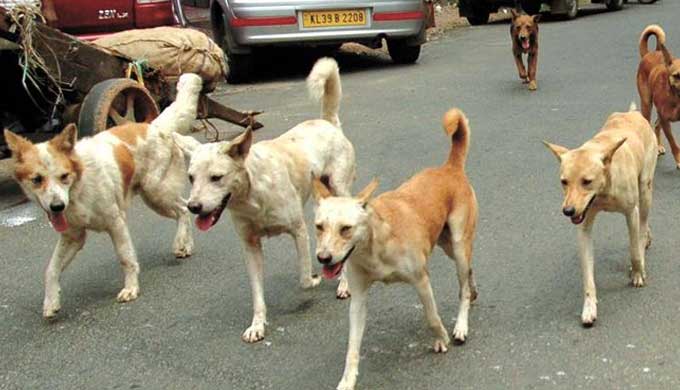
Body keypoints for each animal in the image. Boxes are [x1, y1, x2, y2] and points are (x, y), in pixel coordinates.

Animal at [4, 74, 202, 320]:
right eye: (37, 179)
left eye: (64, 176)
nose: (57, 207)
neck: (78, 187)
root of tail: (153, 126)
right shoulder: (73, 236)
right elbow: (51, 270)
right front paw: (51, 302)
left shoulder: (116, 223)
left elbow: (126, 257)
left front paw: (131, 288)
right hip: (156, 195)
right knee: (184, 208)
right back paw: (186, 245)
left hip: (155, 192)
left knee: (183, 210)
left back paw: (179, 243)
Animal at [171, 57, 356, 342]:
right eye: (191, 178)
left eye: (216, 177)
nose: (193, 207)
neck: (252, 196)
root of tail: (327, 123)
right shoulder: (250, 246)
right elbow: (257, 294)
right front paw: (257, 325)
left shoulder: (298, 231)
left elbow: (304, 278)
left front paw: (315, 279)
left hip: (339, 187)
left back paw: (344, 284)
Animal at [314, 107, 478, 390]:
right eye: (319, 227)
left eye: (346, 228)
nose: (323, 258)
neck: (375, 247)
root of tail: (449, 168)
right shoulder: (358, 298)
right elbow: (352, 346)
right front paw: (347, 379)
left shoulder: (422, 280)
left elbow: (431, 317)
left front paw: (441, 338)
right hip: (447, 244)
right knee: (469, 272)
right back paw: (474, 292)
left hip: (457, 246)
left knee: (463, 286)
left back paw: (461, 324)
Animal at [540, 103, 660, 326]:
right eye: (564, 182)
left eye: (587, 181)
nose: (568, 211)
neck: (604, 189)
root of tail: (632, 113)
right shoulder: (583, 226)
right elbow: (587, 275)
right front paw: (589, 306)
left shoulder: (631, 213)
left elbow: (634, 249)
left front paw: (637, 271)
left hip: (645, 189)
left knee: (642, 222)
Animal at [636, 24, 680, 165]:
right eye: (676, 75)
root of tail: (650, 53)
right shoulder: (666, 121)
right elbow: (673, 143)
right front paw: (679, 160)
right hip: (646, 105)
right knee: (651, 123)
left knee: (656, 124)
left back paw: (659, 146)